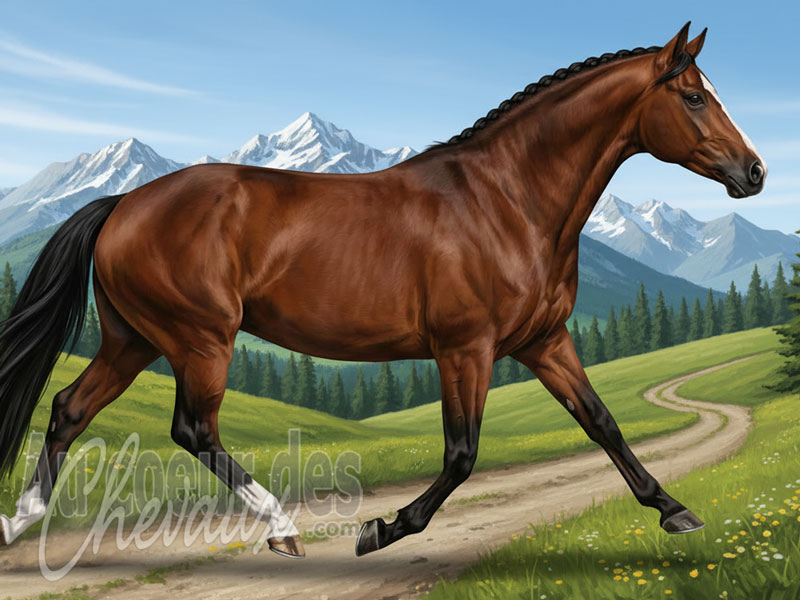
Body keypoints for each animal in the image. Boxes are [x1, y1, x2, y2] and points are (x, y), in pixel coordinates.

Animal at [0, 22, 765, 559]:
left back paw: (19, 523)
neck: (507, 200)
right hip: (200, 339)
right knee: (193, 429)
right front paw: (382, 528)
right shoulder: (465, 349)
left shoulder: (544, 342)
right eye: (694, 97)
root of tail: (124, 203)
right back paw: (282, 527)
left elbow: (602, 421)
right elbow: (461, 454)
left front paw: (674, 509)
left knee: (69, 409)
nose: (754, 172)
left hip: (132, 339)